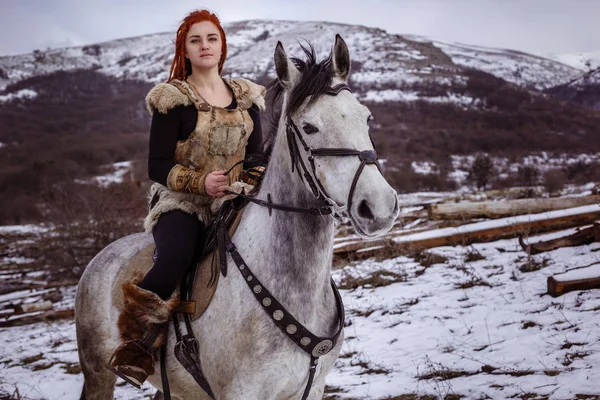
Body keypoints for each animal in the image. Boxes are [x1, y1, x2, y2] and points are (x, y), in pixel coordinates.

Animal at [76, 36, 398, 398]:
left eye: (366, 118)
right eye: (309, 127)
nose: (379, 207)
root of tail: (99, 259)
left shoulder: (312, 387)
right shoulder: (242, 392)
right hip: (98, 374)